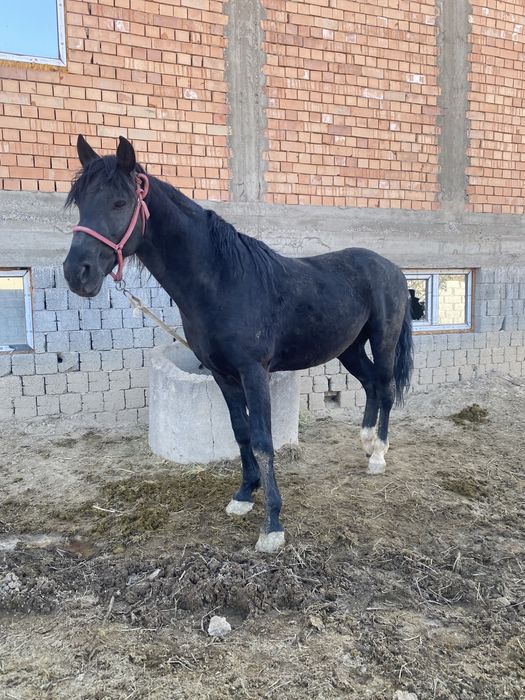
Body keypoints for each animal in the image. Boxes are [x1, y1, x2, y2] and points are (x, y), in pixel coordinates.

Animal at [63, 135, 413, 553]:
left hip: (383, 339)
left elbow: (263, 440)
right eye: (80, 203)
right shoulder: (222, 374)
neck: (222, 281)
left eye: (119, 202)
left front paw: (272, 525)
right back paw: (366, 443)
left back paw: (378, 456)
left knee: (386, 388)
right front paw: (245, 495)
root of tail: (391, 268)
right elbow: (240, 431)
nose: (76, 273)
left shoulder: (253, 372)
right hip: (349, 348)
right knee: (372, 385)